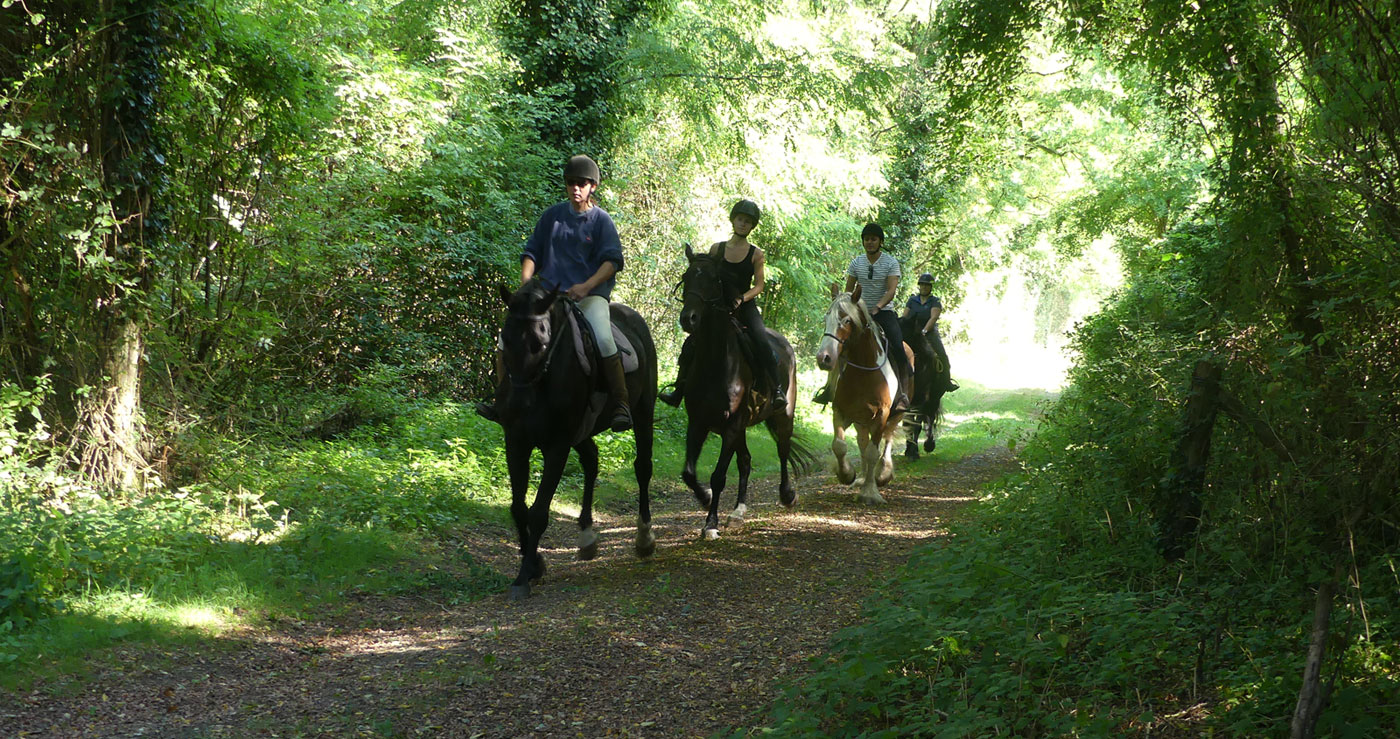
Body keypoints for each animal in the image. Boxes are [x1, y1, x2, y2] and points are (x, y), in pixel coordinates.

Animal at [495, 278, 658, 599]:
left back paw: (644, 538)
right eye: (504, 340)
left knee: (642, 467)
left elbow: (538, 512)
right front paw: (534, 565)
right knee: (592, 460)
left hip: (643, 411)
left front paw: (524, 576)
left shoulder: (557, 446)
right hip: (581, 432)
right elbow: (518, 507)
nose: (519, 404)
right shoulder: (516, 442)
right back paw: (586, 536)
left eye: (539, 344)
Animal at [674, 244, 817, 540]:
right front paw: (704, 498)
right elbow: (689, 473)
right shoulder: (699, 422)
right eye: (687, 276)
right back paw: (738, 512)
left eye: (713, 279)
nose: (688, 319)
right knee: (746, 461)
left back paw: (787, 495)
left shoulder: (732, 425)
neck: (716, 362)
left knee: (783, 450)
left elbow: (718, 476)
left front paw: (710, 524)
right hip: (740, 429)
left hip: (782, 417)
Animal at [817, 285, 912, 503]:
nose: (824, 358)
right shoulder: (841, 411)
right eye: (827, 317)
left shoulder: (882, 415)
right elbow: (839, 445)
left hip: (895, 414)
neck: (864, 370)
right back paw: (860, 477)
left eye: (847, 320)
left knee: (887, 440)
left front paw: (870, 492)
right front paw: (846, 474)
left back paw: (882, 474)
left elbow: (872, 452)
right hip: (861, 420)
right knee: (862, 442)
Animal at [896, 314, 952, 459]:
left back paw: (929, 444)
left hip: (934, 399)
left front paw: (913, 451)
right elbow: (907, 425)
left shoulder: (922, 401)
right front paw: (909, 450)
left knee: (930, 419)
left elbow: (917, 425)